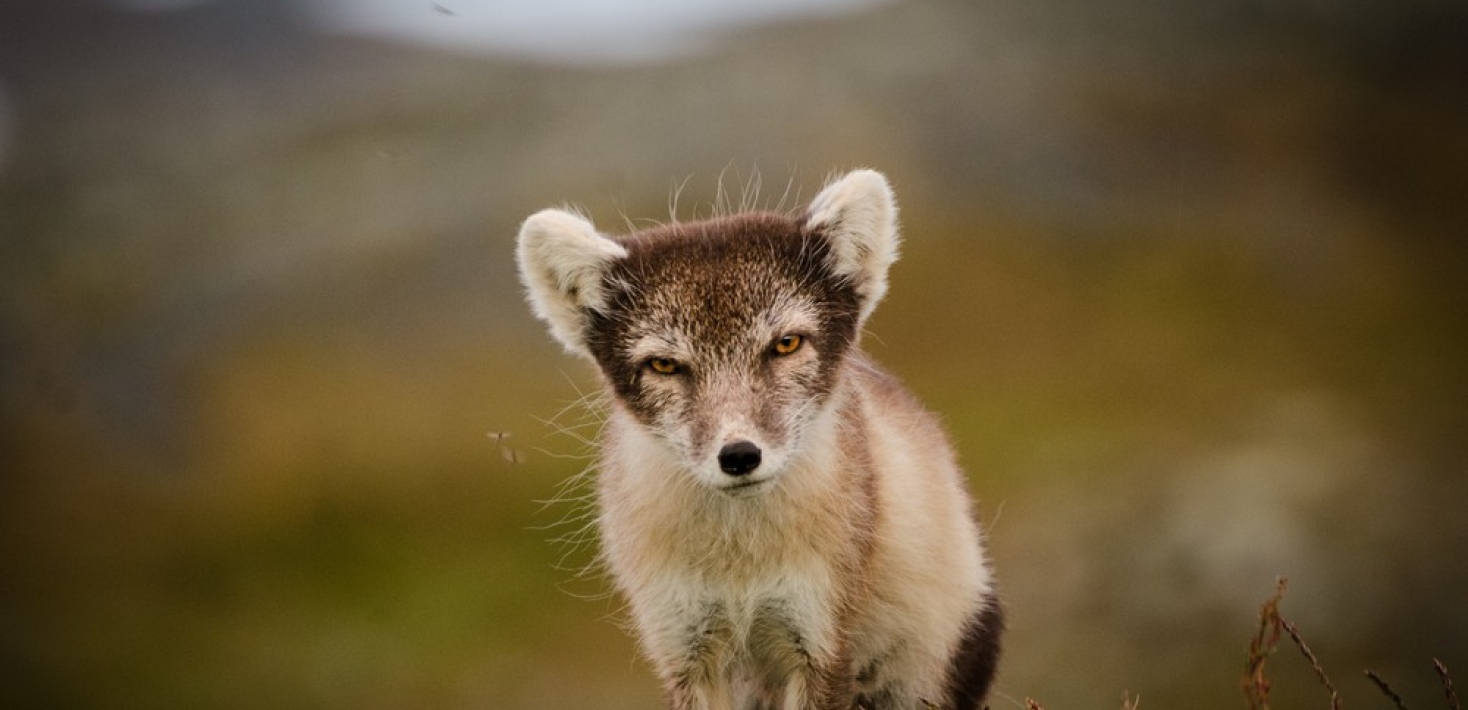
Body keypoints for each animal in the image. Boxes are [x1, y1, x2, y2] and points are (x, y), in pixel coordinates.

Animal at [513, 169, 998, 707]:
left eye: (786, 344)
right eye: (664, 364)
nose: (740, 455)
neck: (741, 567)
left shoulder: (821, 641)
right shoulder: (683, 647)